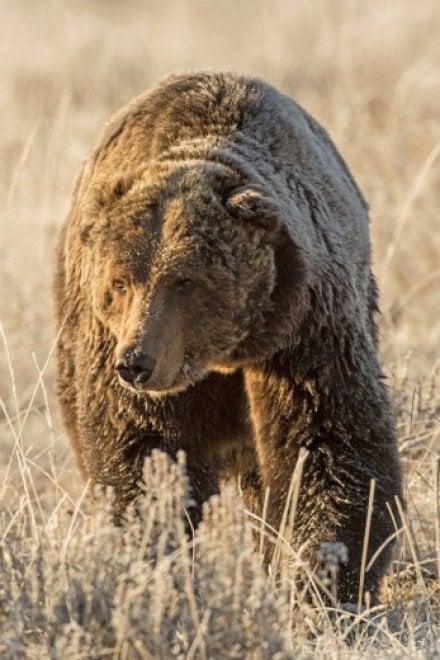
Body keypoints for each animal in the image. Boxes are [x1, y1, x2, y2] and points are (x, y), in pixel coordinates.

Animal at [53, 71, 402, 605]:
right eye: (120, 282)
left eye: (184, 281)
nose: (136, 362)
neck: (224, 354)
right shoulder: (120, 351)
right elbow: (145, 459)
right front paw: (158, 564)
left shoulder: (305, 335)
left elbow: (329, 446)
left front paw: (324, 581)